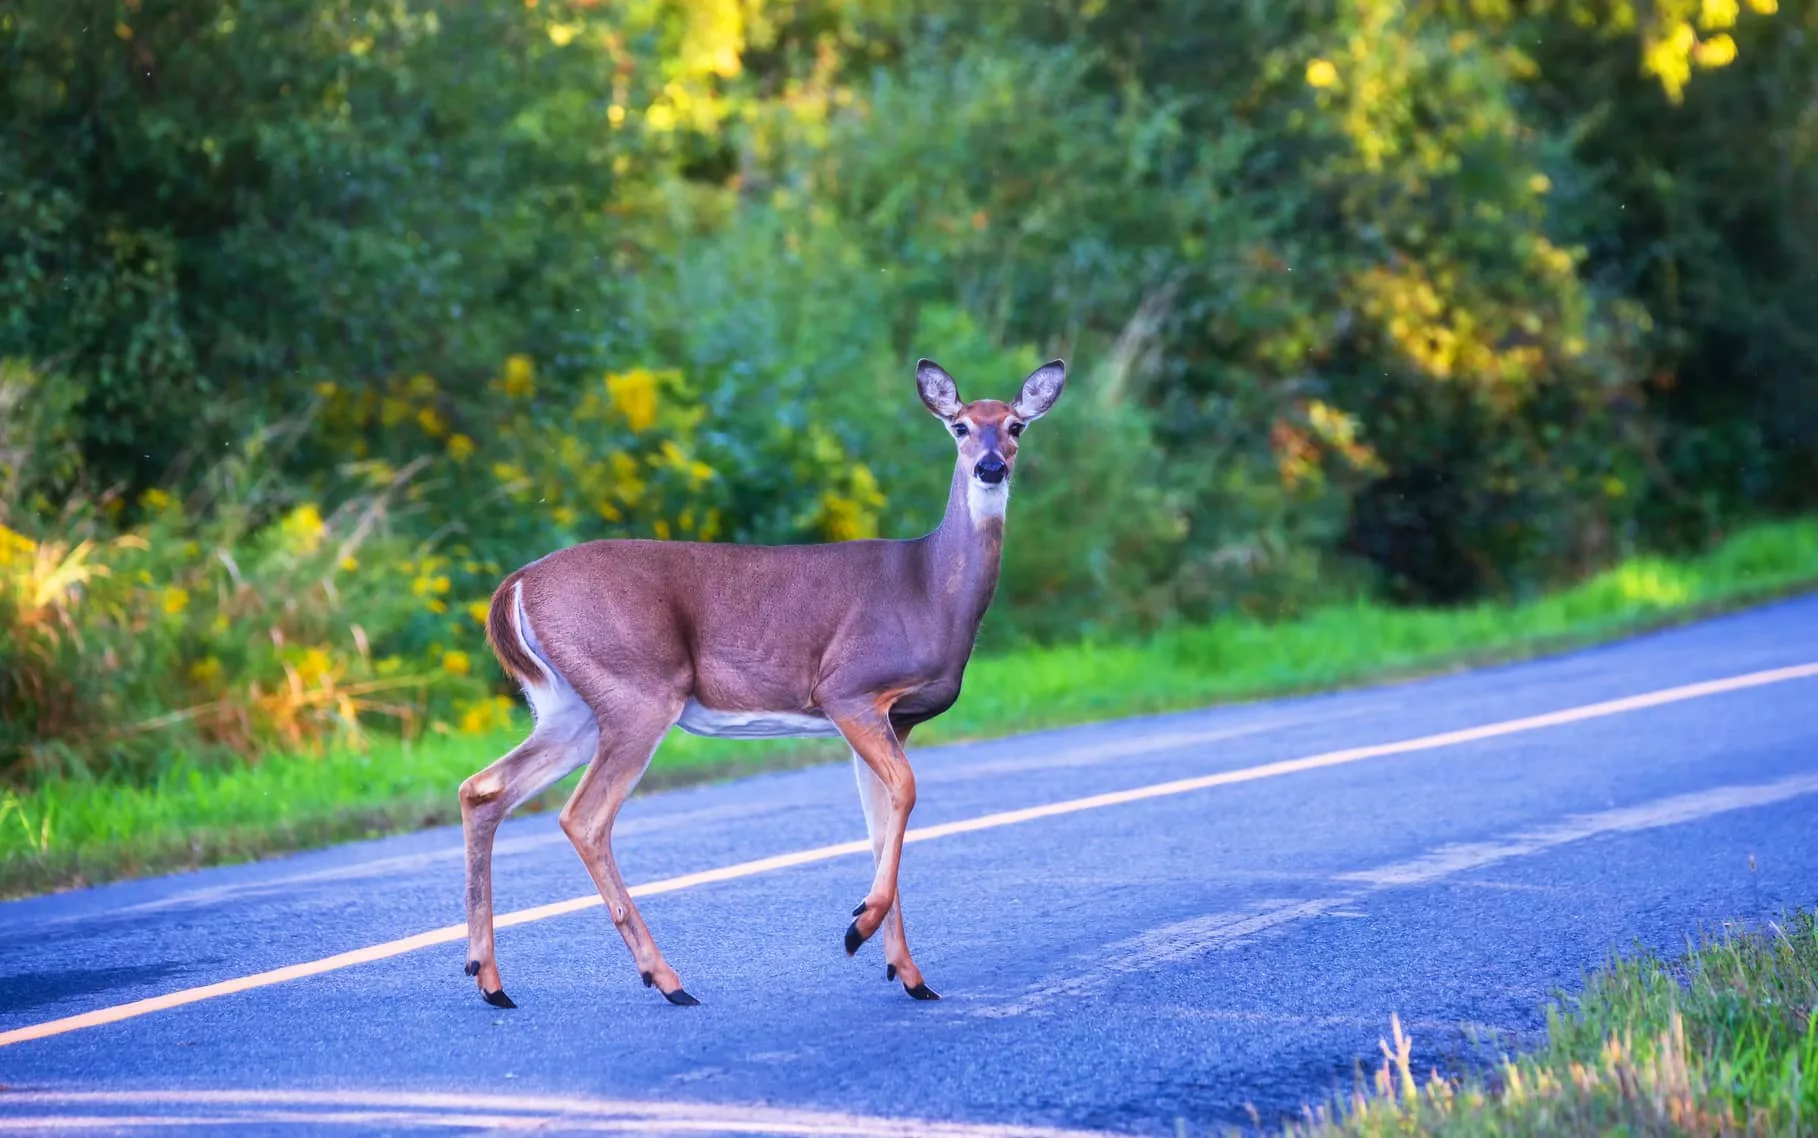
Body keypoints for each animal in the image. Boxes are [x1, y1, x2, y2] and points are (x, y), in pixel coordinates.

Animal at [460, 357, 1067, 1008]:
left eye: (1014, 426)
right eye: (959, 426)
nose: (990, 466)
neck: (930, 588)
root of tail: (517, 583)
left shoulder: (893, 717)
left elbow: (881, 825)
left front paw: (908, 972)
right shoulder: (848, 688)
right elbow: (905, 792)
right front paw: (859, 930)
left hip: (568, 707)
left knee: (483, 789)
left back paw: (490, 980)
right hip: (638, 690)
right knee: (583, 817)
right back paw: (667, 980)